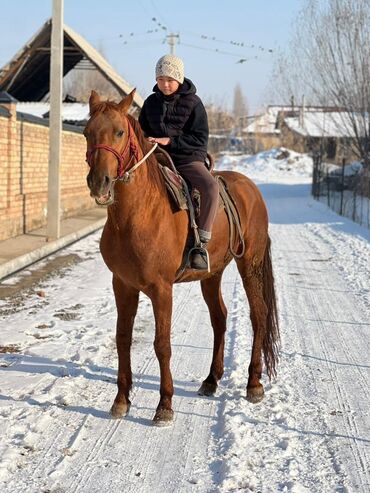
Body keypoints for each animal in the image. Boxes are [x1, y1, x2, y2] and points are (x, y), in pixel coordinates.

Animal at [84, 89, 280, 426]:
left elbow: (162, 345)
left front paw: (164, 405)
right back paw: (211, 380)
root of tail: (250, 189)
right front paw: (121, 400)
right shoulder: (122, 285)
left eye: (120, 132)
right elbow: (123, 338)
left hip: (250, 265)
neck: (137, 215)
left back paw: (254, 383)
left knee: (259, 314)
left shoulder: (161, 289)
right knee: (220, 318)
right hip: (212, 274)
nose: (99, 183)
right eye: (86, 133)